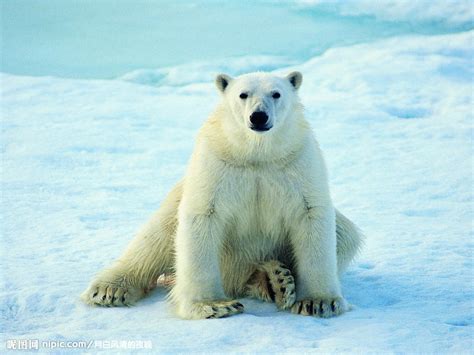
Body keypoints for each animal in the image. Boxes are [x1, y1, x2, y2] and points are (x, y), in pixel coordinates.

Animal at [81, 71, 362, 320]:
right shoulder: (217, 164)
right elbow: (203, 217)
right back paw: (109, 289)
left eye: (276, 93)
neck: (256, 155)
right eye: (243, 94)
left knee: (345, 234)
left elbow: (311, 216)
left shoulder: (297, 163)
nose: (258, 116)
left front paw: (318, 302)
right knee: (154, 238)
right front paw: (214, 306)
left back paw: (275, 280)